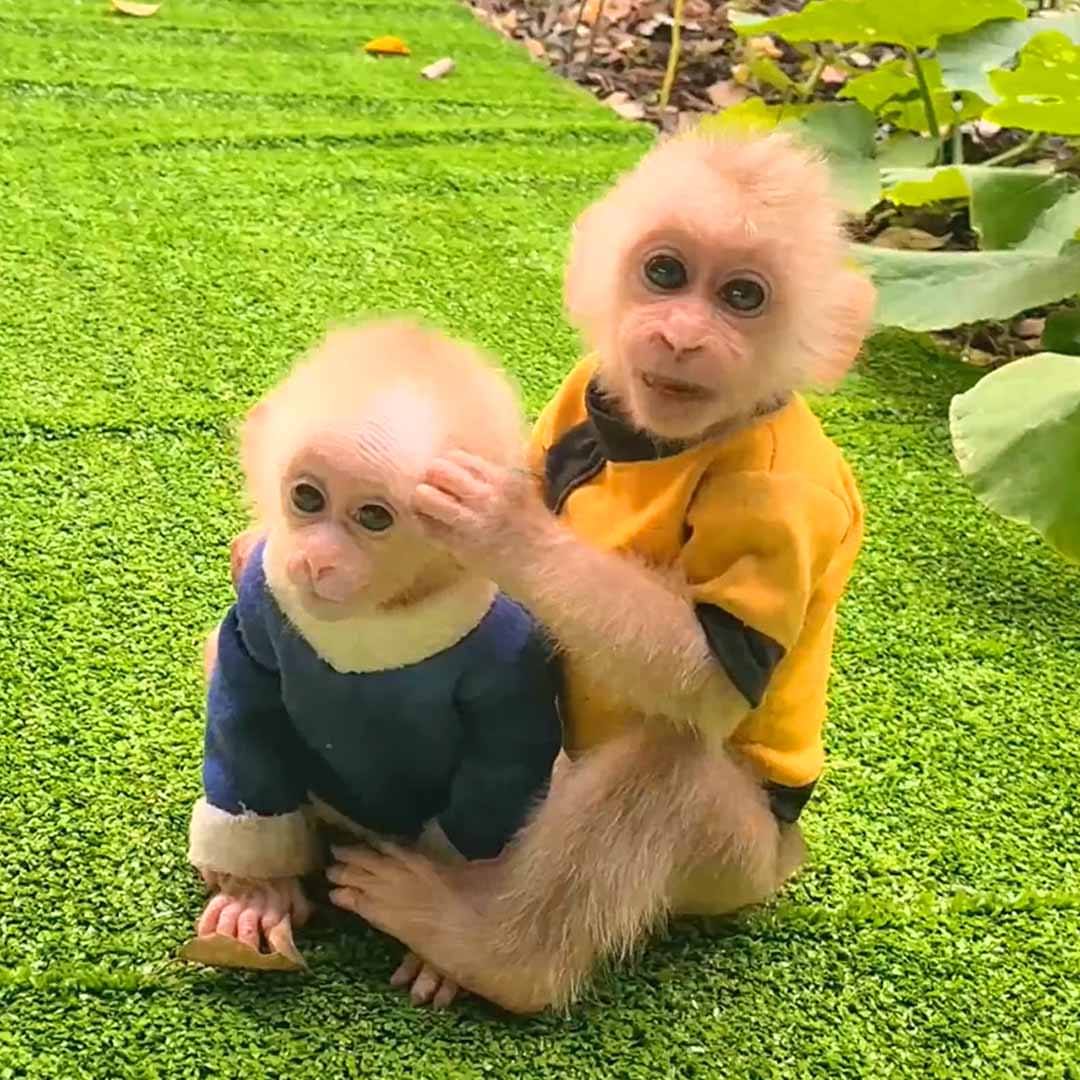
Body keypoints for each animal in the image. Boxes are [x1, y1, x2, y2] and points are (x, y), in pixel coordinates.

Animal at [185, 320, 562, 1008]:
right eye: (307, 497)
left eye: (372, 517)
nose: (317, 559)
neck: (376, 623)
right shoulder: (260, 596)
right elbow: (243, 712)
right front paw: (258, 893)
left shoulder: (512, 651)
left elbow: (502, 761)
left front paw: (442, 933)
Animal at [316, 129, 877, 1014]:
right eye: (666, 273)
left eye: (743, 296)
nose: (681, 337)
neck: (666, 442)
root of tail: (787, 861)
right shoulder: (586, 393)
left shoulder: (784, 496)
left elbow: (707, 671)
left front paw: (503, 525)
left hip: (737, 864)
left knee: (670, 754)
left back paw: (488, 956)